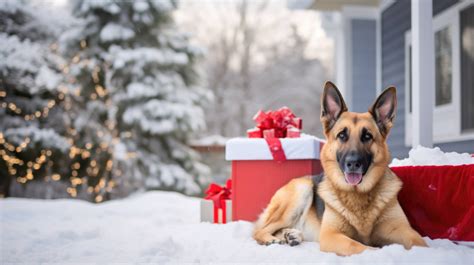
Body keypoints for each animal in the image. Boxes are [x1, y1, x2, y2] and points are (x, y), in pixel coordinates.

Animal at [254, 81, 428, 255]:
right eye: (342, 135)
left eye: (367, 136)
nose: (353, 163)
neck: (358, 195)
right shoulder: (331, 236)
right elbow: (359, 246)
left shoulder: (403, 230)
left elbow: (421, 244)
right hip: (301, 189)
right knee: (259, 230)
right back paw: (272, 239)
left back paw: (291, 235)